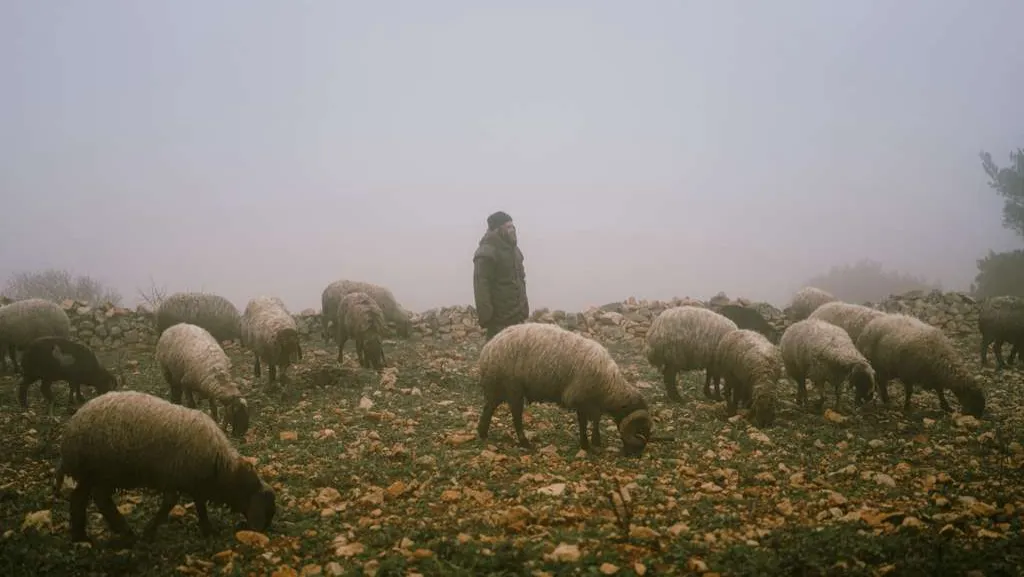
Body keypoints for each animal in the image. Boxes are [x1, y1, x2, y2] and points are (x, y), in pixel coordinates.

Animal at [54, 390, 275, 544]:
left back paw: (80, 537)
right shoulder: (173, 478)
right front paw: (149, 532)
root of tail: (69, 434)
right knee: (100, 497)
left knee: (78, 499)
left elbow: (200, 504)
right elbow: (171, 502)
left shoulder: (194, 481)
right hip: (107, 470)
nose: (260, 532)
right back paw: (126, 533)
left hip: (89, 473)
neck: (221, 467)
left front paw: (208, 529)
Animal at [476, 322, 652, 456]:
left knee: (488, 409)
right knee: (516, 416)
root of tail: (487, 350)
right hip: (513, 389)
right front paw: (589, 444)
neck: (610, 386)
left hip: (496, 388)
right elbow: (587, 422)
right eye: (640, 429)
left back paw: (482, 433)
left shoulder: (590, 402)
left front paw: (591, 442)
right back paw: (525, 443)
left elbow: (591, 421)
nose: (637, 453)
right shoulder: (581, 398)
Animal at [855, 313, 985, 416]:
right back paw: (886, 400)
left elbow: (940, 391)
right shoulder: (908, 373)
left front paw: (946, 406)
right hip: (879, 365)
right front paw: (907, 407)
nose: (978, 416)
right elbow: (909, 391)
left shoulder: (933, 376)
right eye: (973, 398)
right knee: (881, 382)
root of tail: (868, 326)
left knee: (881, 382)